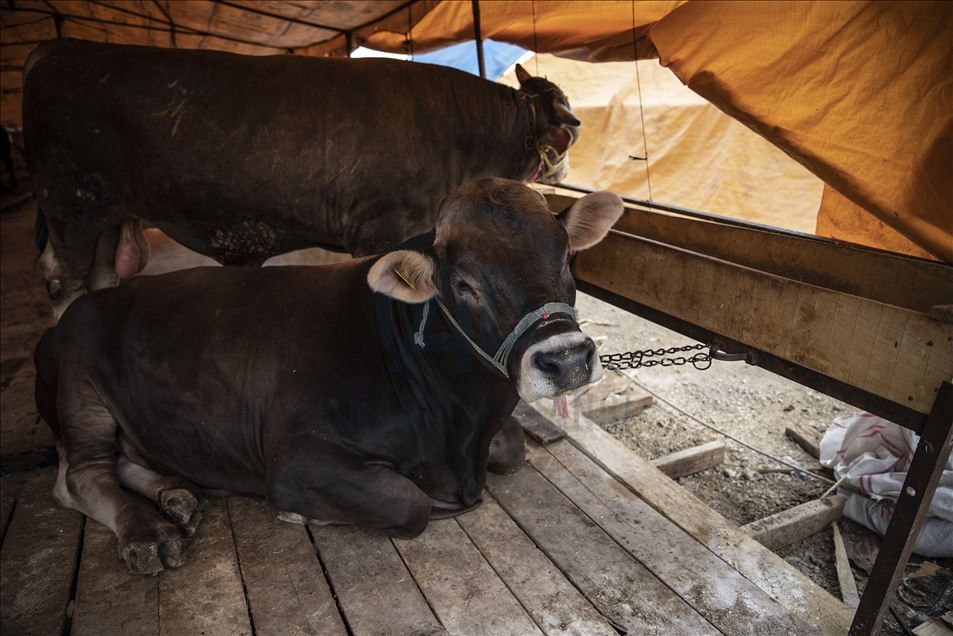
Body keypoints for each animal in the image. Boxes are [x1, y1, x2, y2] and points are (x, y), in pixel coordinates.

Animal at [33, 180, 620, 576]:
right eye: (464, 284)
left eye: (566, 258)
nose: (566, 359)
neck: (458, 428)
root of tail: (86, 305)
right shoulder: (298, 461)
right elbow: (410, 503)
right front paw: (306, 518)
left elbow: (513, 446)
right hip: (80, 393)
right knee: (78, 477)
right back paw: (148, 532)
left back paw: (176, 495)